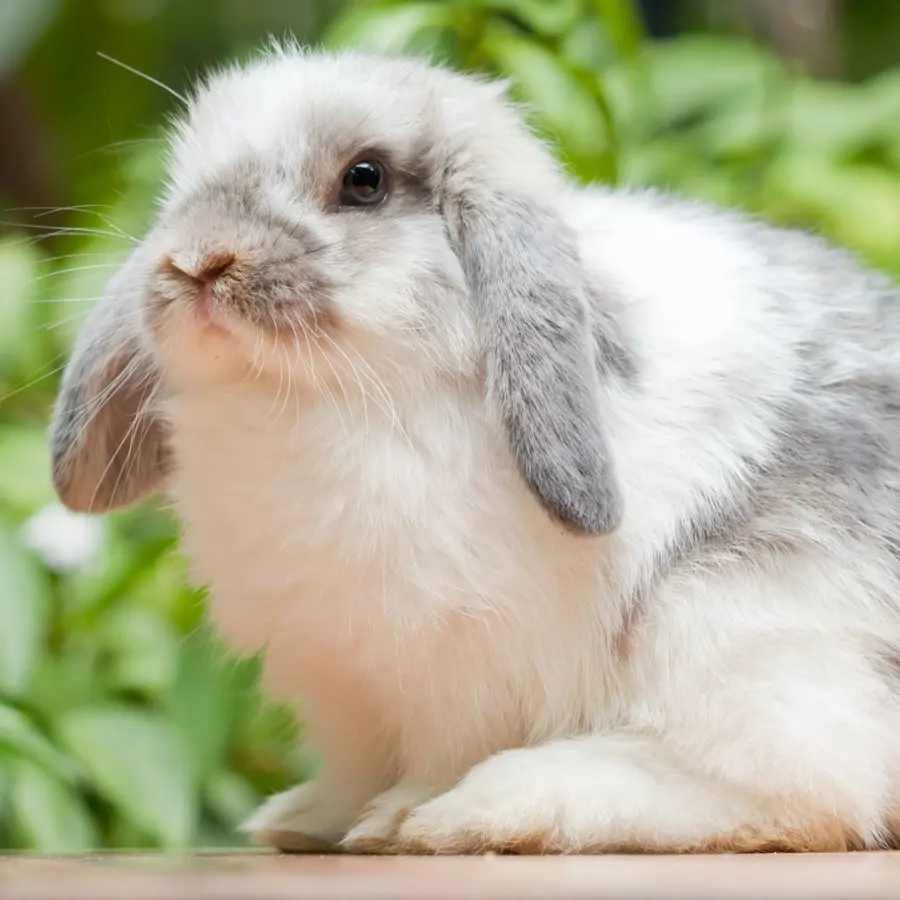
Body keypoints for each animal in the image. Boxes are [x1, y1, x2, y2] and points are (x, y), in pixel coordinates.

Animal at [49, 41, 900, 855]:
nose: (197, 261)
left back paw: (488, 808)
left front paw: (394, 818)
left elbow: (436, 755)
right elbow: (356, 767)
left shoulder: (456, 671)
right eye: (180, 180)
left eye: (364, 179)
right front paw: (313, 816)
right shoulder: (353, 687)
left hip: (733, 625)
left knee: (805, 789)